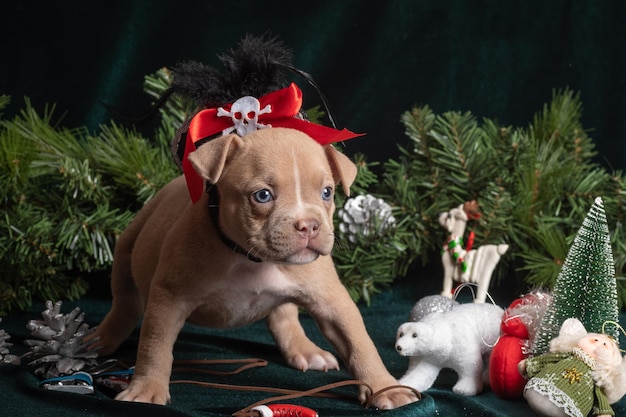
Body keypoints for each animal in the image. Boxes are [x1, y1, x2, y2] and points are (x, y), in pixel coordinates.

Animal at [85, 126, 416, 406]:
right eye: (263, 195)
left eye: (327, 192)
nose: (308, 225)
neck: (252, 258)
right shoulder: (169, 298)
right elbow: (155, 346)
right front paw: (147, 389)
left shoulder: (333, 302)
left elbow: (360, 344)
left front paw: (386, 388)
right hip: (126, 246)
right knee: (125, 304)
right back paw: (99, 340)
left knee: (284, 315)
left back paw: (305, 350)